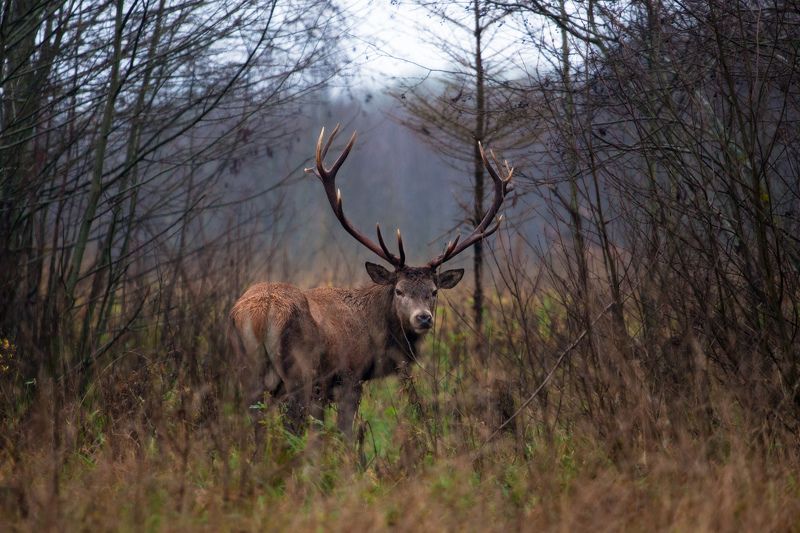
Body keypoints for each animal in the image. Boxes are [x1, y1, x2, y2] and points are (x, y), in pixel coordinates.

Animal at [230, 125, 513, 438]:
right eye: (399, 290)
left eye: (434, 291)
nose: (423, 318)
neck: (374, 330)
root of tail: (257, 315)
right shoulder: (349, 375)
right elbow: (345, 431)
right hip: (298, 372)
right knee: (292, 422)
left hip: (247, 370)